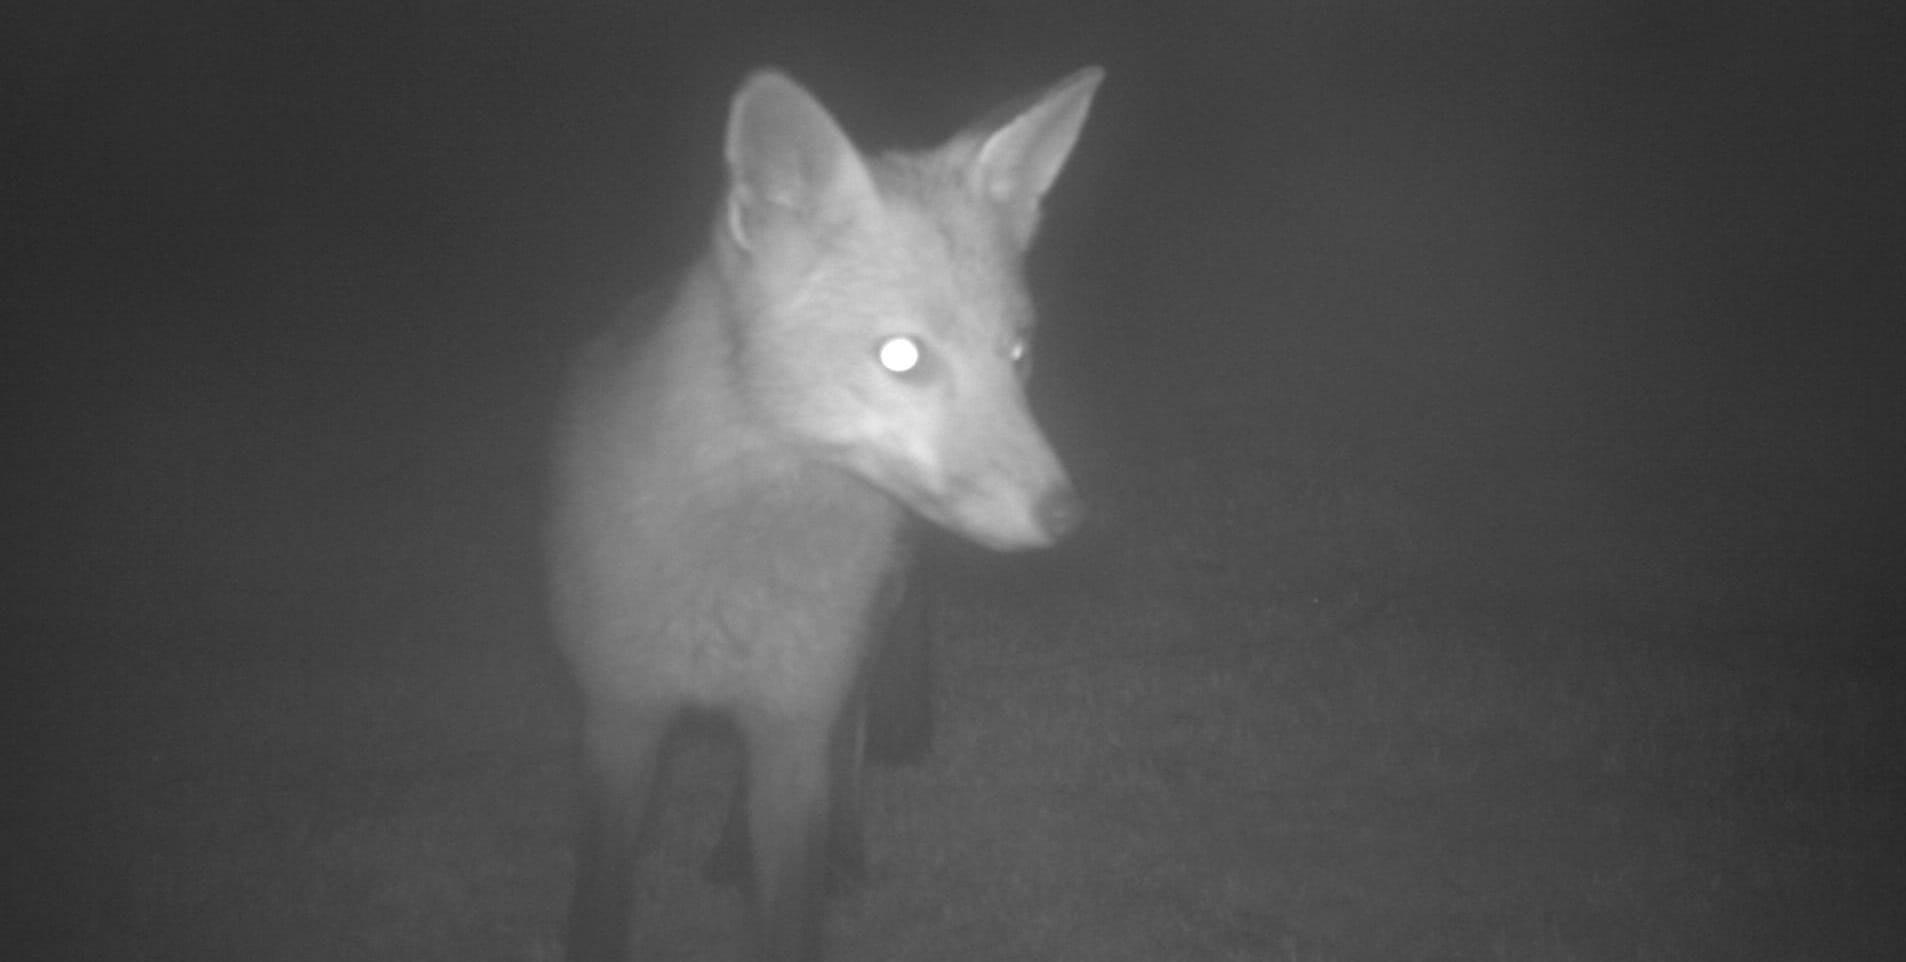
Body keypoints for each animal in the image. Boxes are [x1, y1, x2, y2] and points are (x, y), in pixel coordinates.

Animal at [545, 65, 1103, 962]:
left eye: (1019, 355)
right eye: (902, 356)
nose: (1067, 516)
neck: (741, 570)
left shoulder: (794, 724)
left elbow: (792, 907)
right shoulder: (619, 715)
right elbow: (598, 898)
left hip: (851, 657)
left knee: (853, 738)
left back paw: (827, 845)